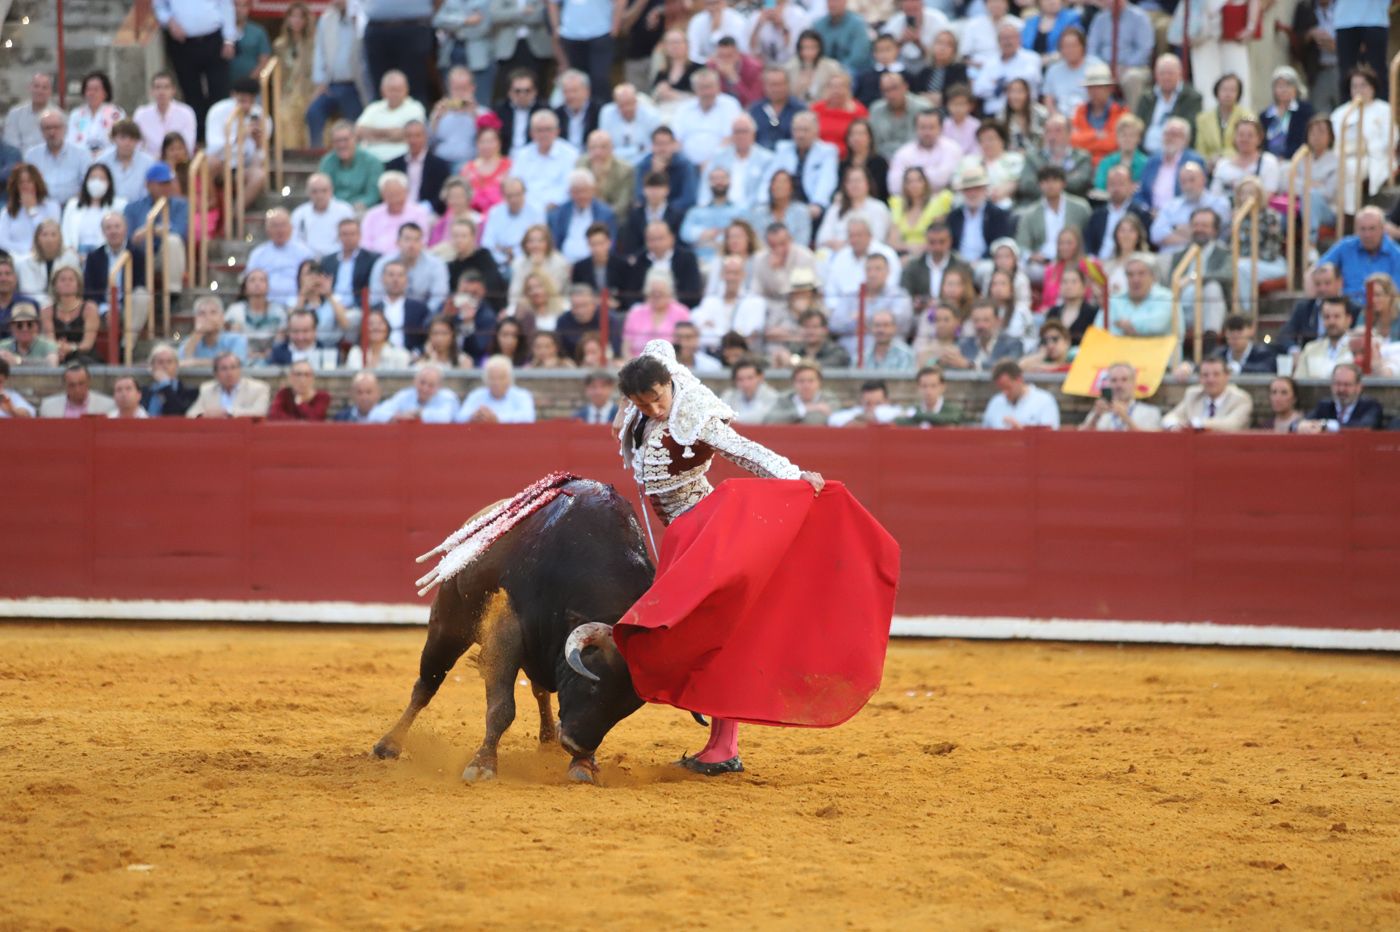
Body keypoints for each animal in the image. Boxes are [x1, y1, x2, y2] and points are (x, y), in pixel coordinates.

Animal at [372, 475, 655, 778]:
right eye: (591, 685)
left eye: (626, 708)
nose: (575, 745)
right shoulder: (507, 627)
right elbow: (502, 707)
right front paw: (482, 765)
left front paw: (583, 765)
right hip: (448, 624)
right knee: (427, 684)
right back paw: (389, 744)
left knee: (539, 691)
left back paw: (548, 742)